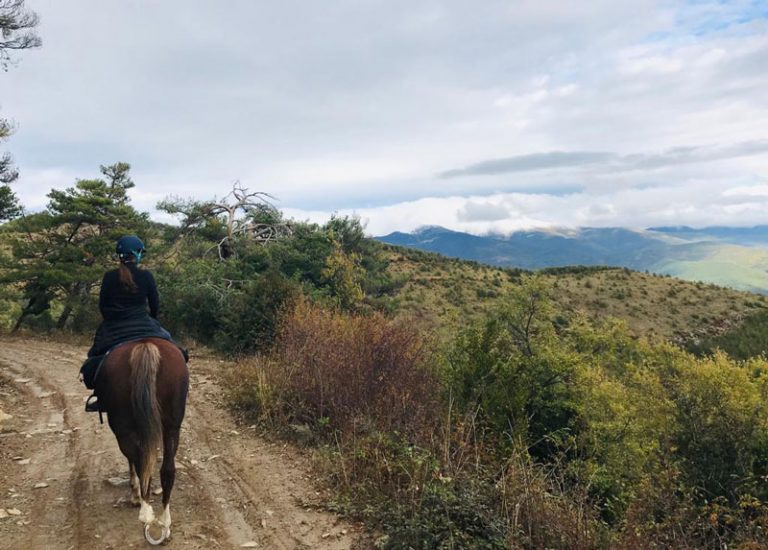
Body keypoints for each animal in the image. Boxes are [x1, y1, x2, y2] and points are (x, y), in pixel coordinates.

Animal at [95, 338, 190, 544]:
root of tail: (145, 344)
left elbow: (133, 460)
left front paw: (134, 493)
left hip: (122, 426)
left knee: (138, 460)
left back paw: (145, 511)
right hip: (172, 426)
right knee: (167, 470)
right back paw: (164, 522)